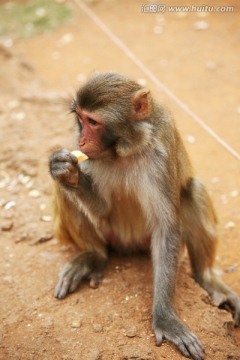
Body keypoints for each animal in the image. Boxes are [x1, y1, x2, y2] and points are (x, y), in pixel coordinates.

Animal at [49, 71, 240, 358]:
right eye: (80, 119)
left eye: (93, 122)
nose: (81, 141)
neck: (123, 149)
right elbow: (101, 208)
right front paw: (66, 171)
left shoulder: (160, 152)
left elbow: (165, 228)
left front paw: (164, 318)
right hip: (111, 235)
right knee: (65, 194)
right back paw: (93, 256)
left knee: (192, 190)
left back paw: (206, 278)